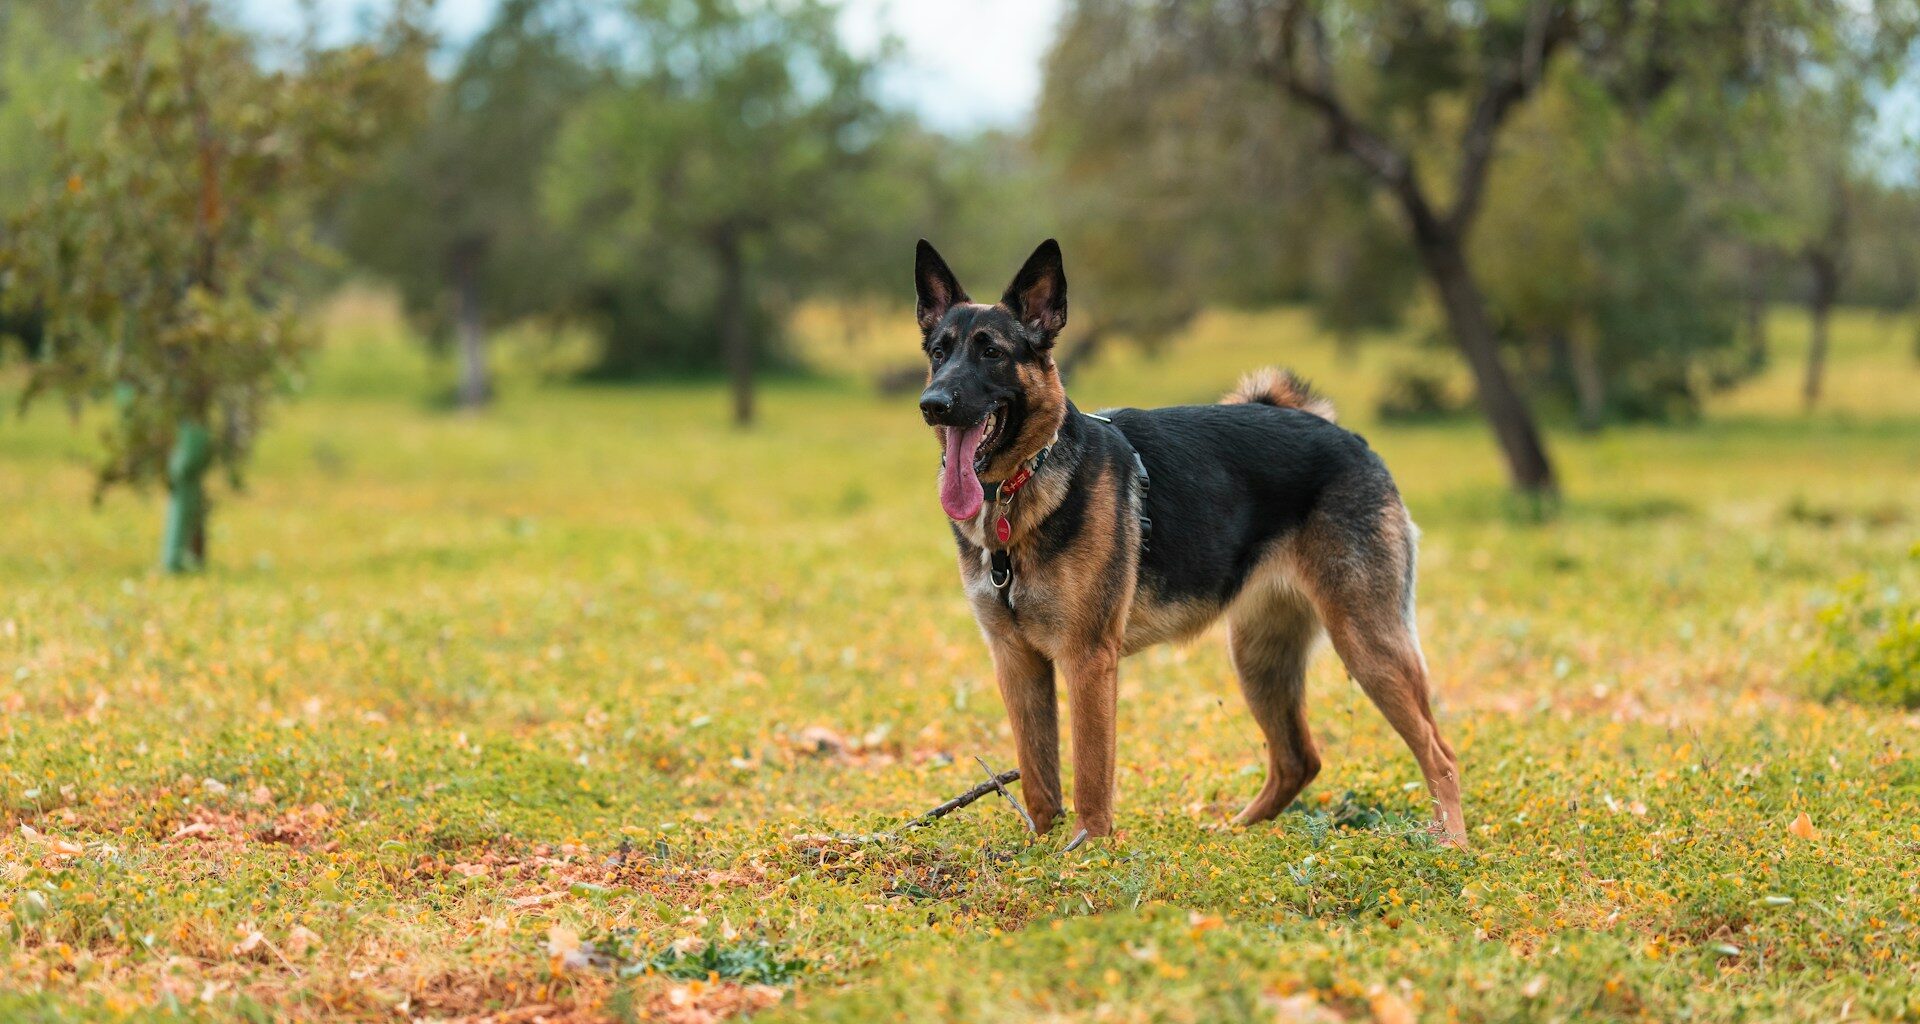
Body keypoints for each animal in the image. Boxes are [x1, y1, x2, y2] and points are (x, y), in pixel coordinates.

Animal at [913, 239, 1466, 845]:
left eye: (991, 353)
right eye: (938, 353)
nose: (932, 403)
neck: (1022, 485)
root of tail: (1349, 438)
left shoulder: (1088, 660)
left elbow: (1091, 776)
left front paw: (1087, 852)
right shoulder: (1016, 662)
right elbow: (1039, 781)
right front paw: (1041, 849)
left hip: (1367, 643)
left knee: (1440, 754)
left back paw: (1452, 846)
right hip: (1259, 655)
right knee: (1298, 759)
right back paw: (1235, 835)